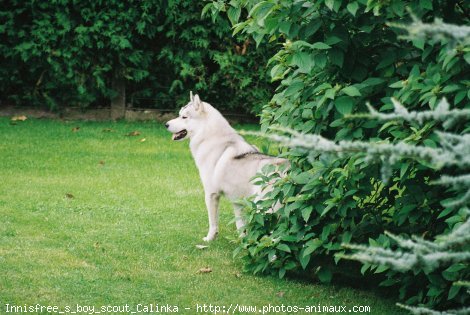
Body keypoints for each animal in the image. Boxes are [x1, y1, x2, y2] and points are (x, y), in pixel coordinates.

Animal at [165, 92, 286, 241]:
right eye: (179, 115)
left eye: (184, 117)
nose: (166, 124)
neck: (208, 136)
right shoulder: (237, 202)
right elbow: (240, 226)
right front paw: (242, 241)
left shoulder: (211, 194)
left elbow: (213, 223)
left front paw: (209, 239)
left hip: (265, 210)